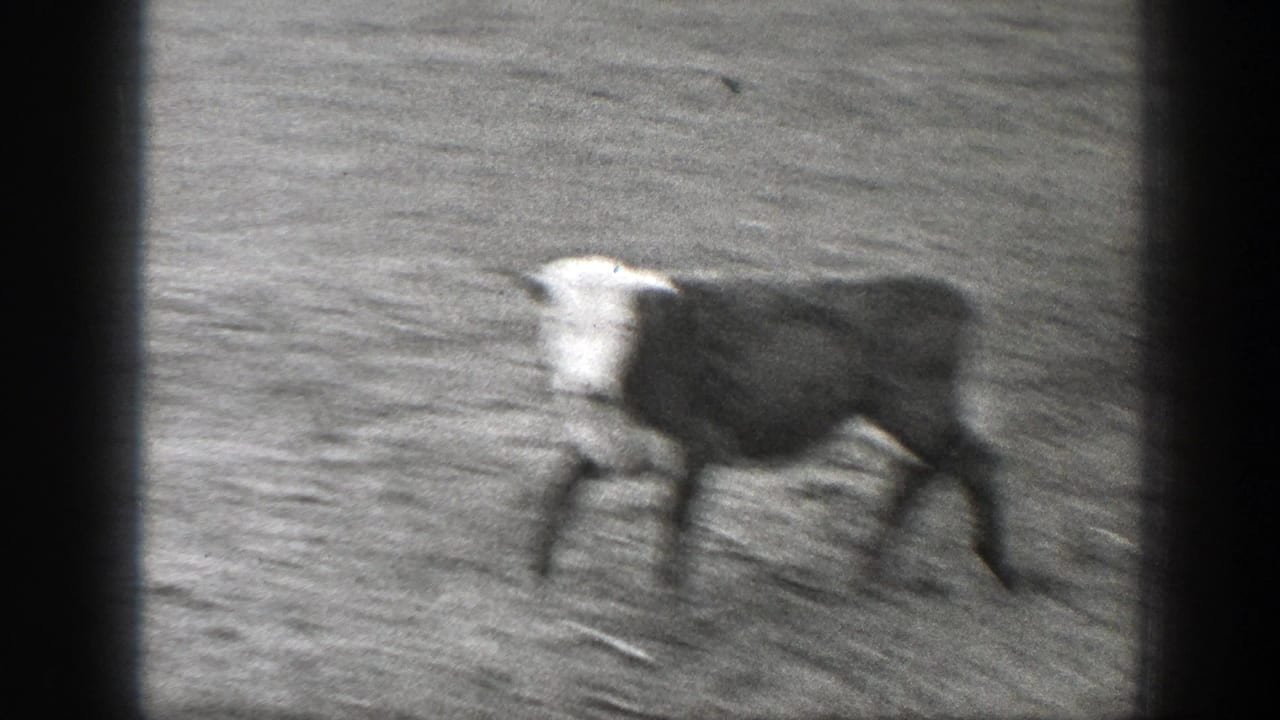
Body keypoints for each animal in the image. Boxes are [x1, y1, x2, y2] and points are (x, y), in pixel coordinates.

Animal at [518, 255, 1016, 591]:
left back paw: (996, 567)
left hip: (917, 412)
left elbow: (673, 523)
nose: (587, 386)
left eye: (623, 328)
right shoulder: (615, 445)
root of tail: (945, 291)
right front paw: (539, 573)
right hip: (896, 419)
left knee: (974, 462)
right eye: (560, 323)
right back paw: (866, 574)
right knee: (918, 472)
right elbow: (559, 486)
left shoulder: (697, 443)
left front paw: (666, 603)